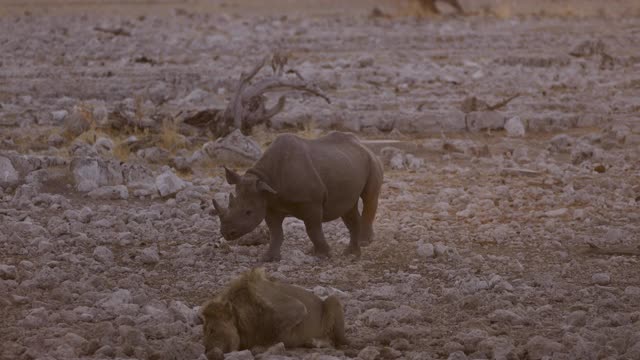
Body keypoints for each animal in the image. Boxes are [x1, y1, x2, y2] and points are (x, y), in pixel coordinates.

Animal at [201, 268, 348, 358]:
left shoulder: (297, 307)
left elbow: (275, 334)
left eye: (212, 330)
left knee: (337, 342)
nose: (206, 351)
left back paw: (314, 342)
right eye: (204, 331)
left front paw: (262, 346)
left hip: (333, 300)